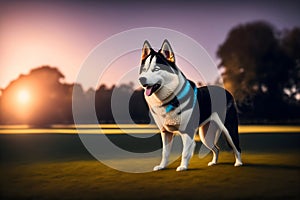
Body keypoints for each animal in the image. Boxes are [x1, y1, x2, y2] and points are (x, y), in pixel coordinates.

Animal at [139, 39, 243, 171]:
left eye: (157, 69)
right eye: (144, 69)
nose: (141, 79)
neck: (168, 100)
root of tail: (226, 91)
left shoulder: (187, 131)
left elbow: (185, 152)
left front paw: (183, 167)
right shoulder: (166, 133)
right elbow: (165, 152)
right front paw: (162, 166)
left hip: (229, 129)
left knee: (237, 147)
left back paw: (238, 163)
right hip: (205, 136)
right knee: (216, 148)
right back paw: (214, 162)